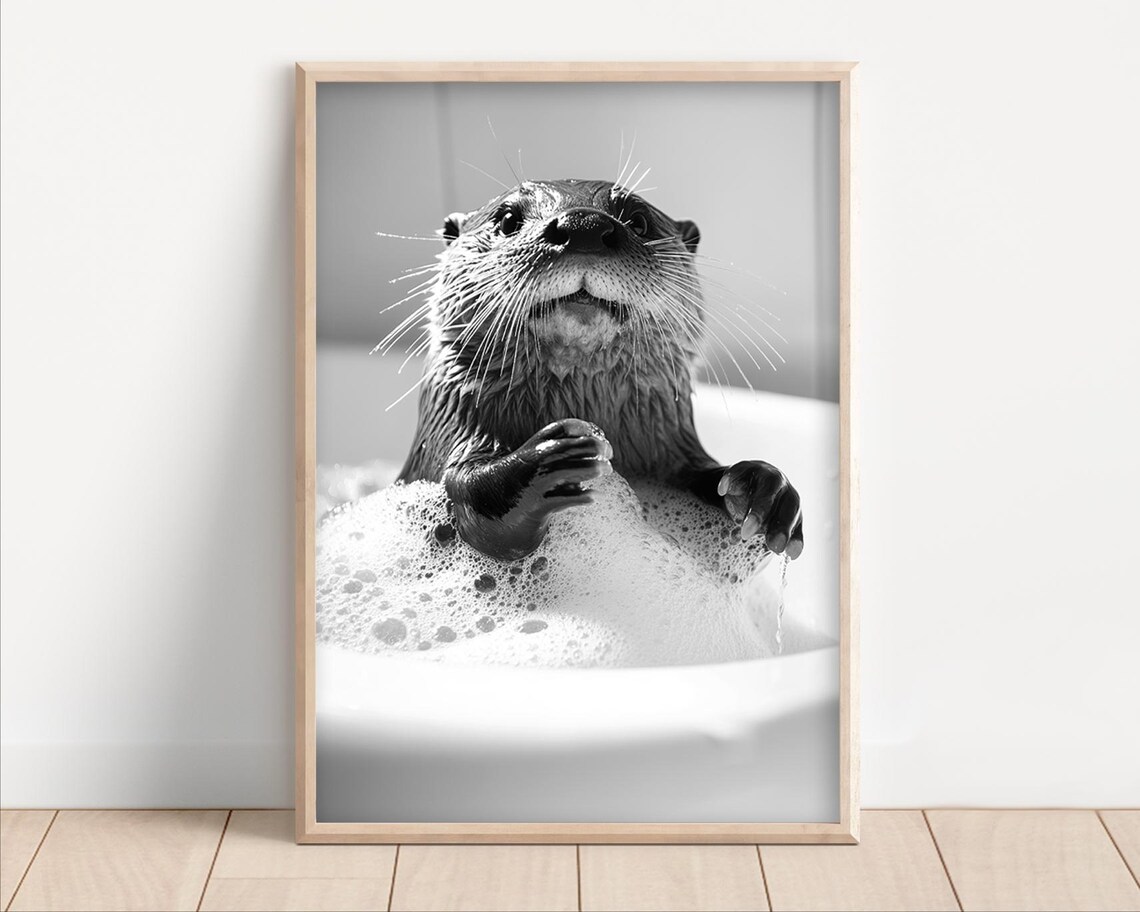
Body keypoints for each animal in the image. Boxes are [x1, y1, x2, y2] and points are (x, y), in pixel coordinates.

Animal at [397, 179, 804, 563]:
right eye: (509, 219)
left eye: (638, 221)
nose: (583, 225)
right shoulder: (452, 417)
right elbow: (471, 494)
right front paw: (552, 456)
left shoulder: (672, 444)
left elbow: (700, 472)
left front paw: (763, 488)